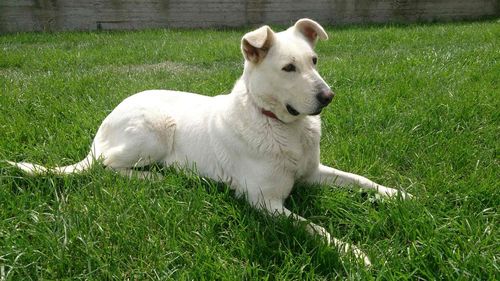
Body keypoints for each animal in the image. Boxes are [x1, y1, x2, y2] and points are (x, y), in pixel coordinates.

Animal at [9, 19, 412, 264]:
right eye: (288, 68)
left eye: (314, 60)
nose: (329, 97)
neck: (282, 125)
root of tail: (102, 126)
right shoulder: (264, 202)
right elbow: (316, 227)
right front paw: (353, 253)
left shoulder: (313, 173)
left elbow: (360, 180)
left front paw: (397, 195)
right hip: (155, 129)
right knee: (106, 167)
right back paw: (156, 177)